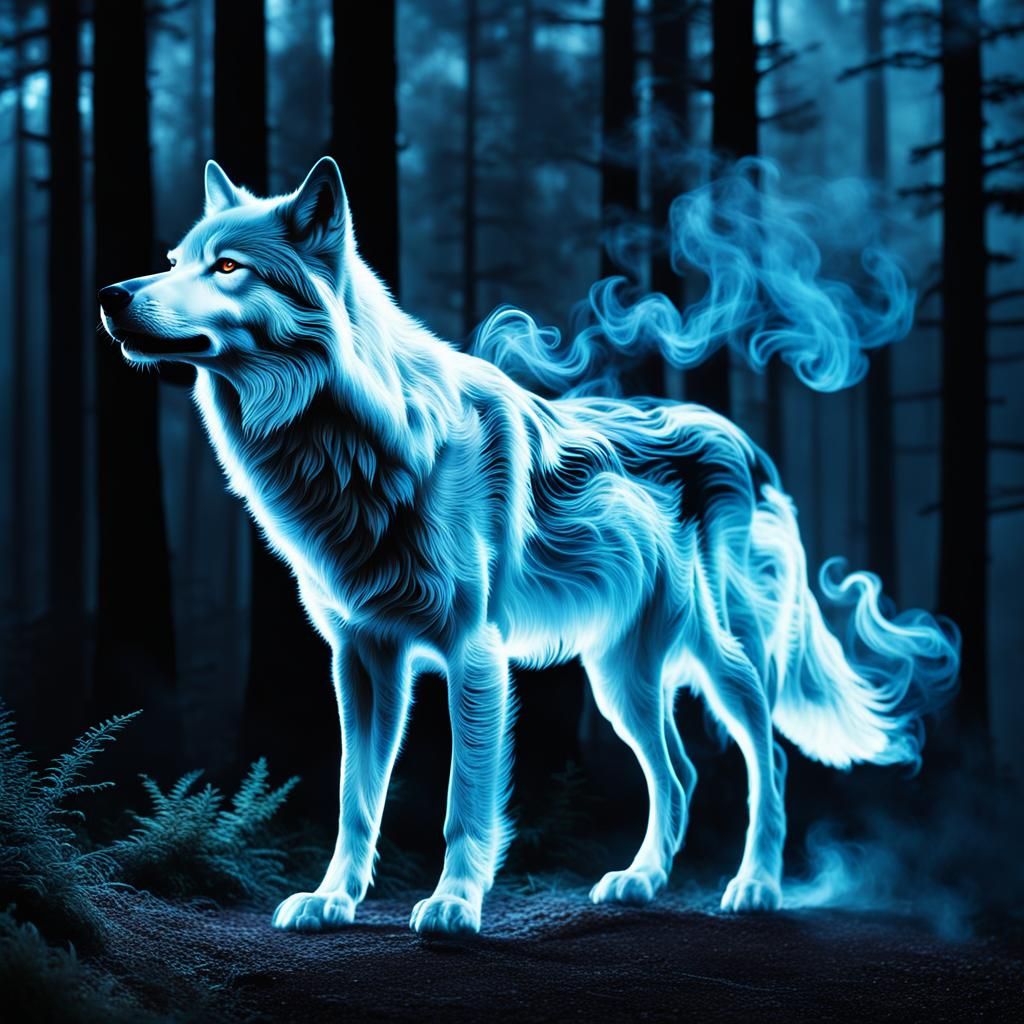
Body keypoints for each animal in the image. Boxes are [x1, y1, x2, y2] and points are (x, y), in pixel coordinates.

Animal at [98, 157, 958, 935]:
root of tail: (747, 444)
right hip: (620, 680)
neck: (355, 445)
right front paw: (331, 902)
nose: (110, 295)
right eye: (172, 261)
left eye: (228, 267)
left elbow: (463, 800)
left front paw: (452, 906)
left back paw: (756, 888)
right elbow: (355, 798)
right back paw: (640, 883)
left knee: (767, 761)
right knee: (678, 773)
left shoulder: (473, 651)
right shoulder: (363, 658)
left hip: (725, 657)